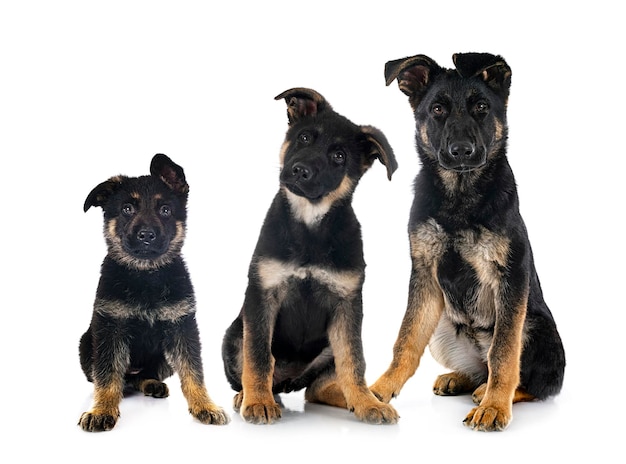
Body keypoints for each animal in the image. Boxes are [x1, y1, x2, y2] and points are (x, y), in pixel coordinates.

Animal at [78, 153, 228, 432]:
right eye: (127, 209)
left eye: (165, 210)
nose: (146, 235)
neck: (146, 275)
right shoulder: (110, 328)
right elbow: (107, 374)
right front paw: (102, 409)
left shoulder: (182, 327)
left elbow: (193, 371)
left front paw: (204, 405)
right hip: (86, 345)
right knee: (116, 378)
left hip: (163, 358)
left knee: (143, 377)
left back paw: (151, 384)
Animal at [222, 87, 398, 424]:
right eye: (304, 138)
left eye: (339, 156)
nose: (300, 170)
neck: (310, 225)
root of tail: (289, 380)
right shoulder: (262, 296)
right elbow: (259, 355)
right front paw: (258, 401)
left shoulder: (347, 305)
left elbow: (353, 362)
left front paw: (367, 403)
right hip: (235, 334)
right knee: (258, 369)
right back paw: (249, 396)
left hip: (328, 347)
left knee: (319, 388)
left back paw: (359, 398)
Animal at [368, 54, 564, 432]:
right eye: (438, 109)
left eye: (482, 108)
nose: (461, 151)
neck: (459, 195)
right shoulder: (424, 275)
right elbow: (406, 340)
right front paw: (377, 390)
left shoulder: (511, 276)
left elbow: (504, 353)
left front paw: (495, 406)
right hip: (442, 326)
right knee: (478, 369)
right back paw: (460, 379)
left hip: (535, 327)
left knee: (529, 380)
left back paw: (489, 393)